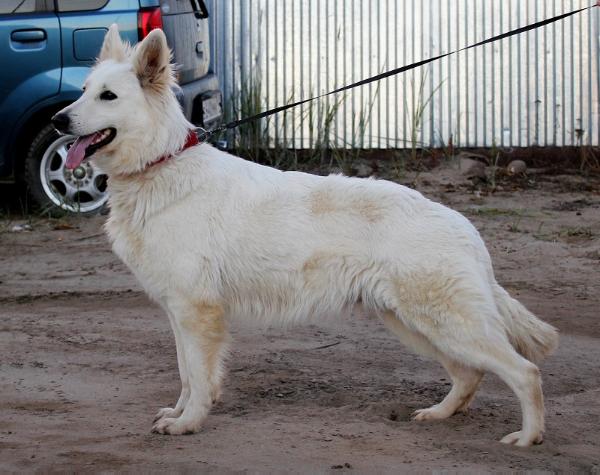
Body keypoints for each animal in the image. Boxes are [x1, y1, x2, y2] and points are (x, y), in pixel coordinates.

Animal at [54, 26, 560, 448]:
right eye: (83, 92)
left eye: (108, 96)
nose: (58, 121)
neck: (159, 163)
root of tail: (464, 226)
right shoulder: (178, 313)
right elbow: (185, 375)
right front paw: (179, 413)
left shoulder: (197, 313)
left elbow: (198, 377)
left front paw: (189, 423)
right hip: (415, 325)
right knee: (470, 374)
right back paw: (439, 414)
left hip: (445, 324)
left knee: (526, 371)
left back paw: (528, 437)